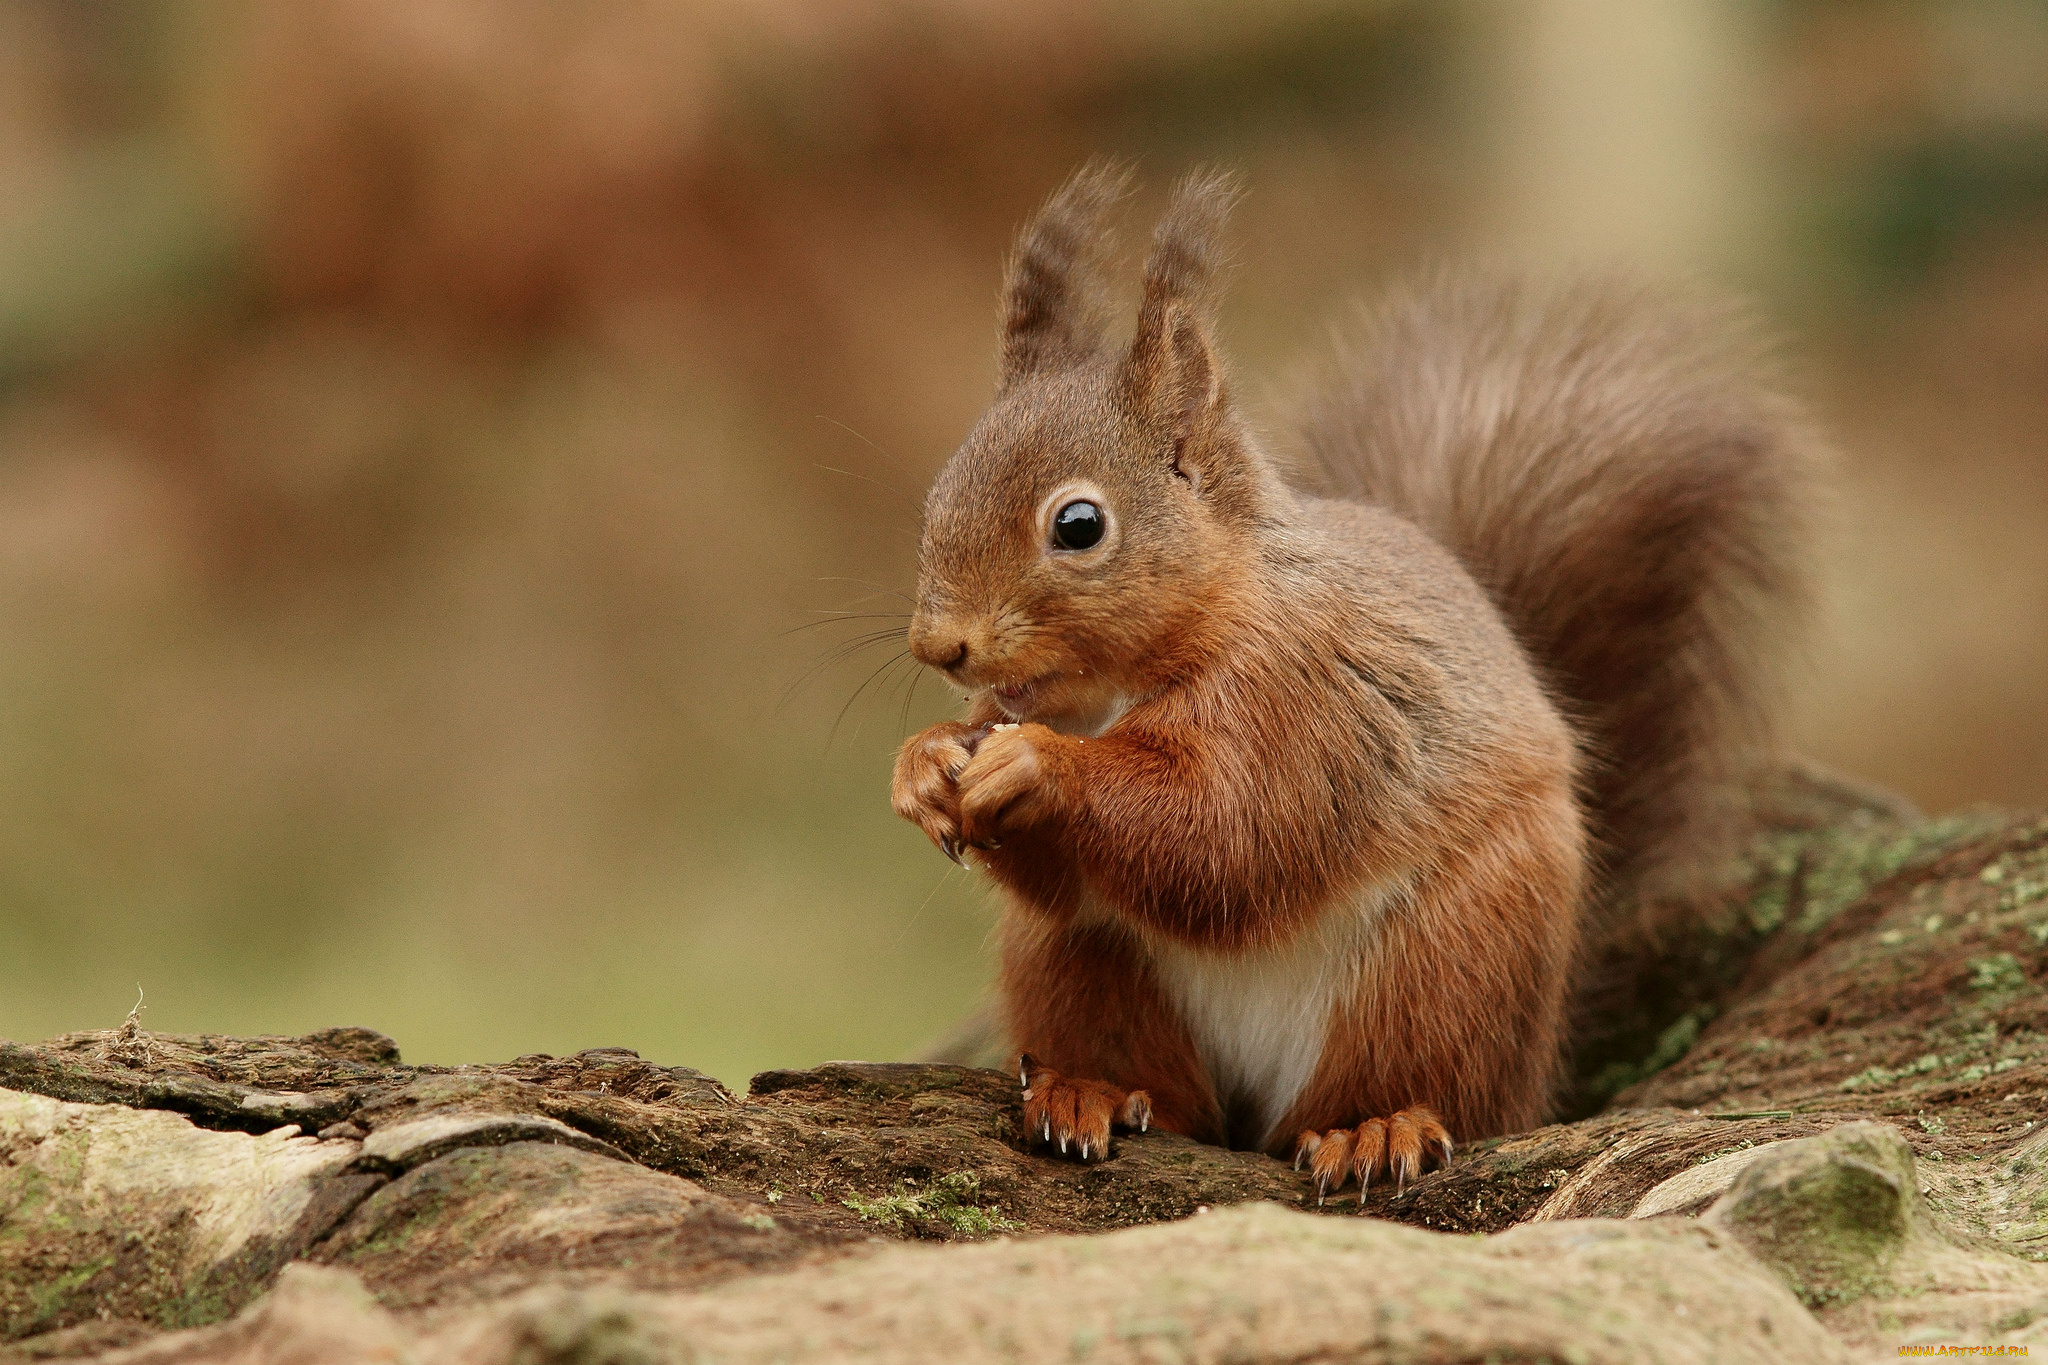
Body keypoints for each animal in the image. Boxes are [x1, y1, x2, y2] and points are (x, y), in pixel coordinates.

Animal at [888, 165, 1818, 1203]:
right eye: (939, 493)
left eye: (1079, 525)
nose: (939, 645)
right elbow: (1073, 867)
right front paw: (923, 764)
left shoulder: (1305, 701)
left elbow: (1224, 831)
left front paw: (1039, 767)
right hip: (1079, 968)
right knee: (1160, 1089)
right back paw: (1087, 1089)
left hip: (1447, 962)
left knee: (1405, 1083)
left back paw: (1375, 1127)